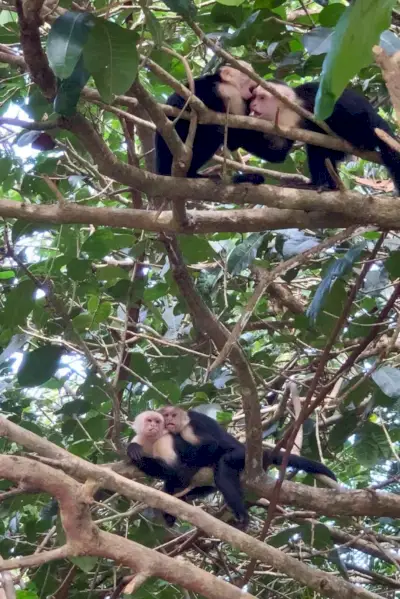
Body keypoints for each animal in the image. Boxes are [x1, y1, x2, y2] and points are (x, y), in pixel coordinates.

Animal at [231, 80, 400, 192]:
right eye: (253, 98)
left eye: (261, 97)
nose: (253, 106)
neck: (291, 109)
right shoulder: (281, 123)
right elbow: (277, 153)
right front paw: (233, 134)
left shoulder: (312, 97)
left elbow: (349, 111)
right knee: (318, 150)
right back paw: (324, 185)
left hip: (374, 127)